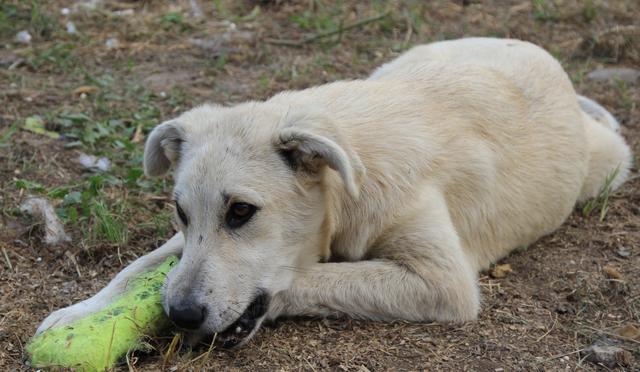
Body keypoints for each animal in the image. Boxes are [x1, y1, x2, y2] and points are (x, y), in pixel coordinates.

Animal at [37, 36, 632, 348]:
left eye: (242, 211)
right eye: (181, 213)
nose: (180, 315)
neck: (350, 185)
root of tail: (535, 50)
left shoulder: (443, 281)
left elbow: (312, 276)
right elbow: (138, 265)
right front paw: (76, 315)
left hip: (610, 165)